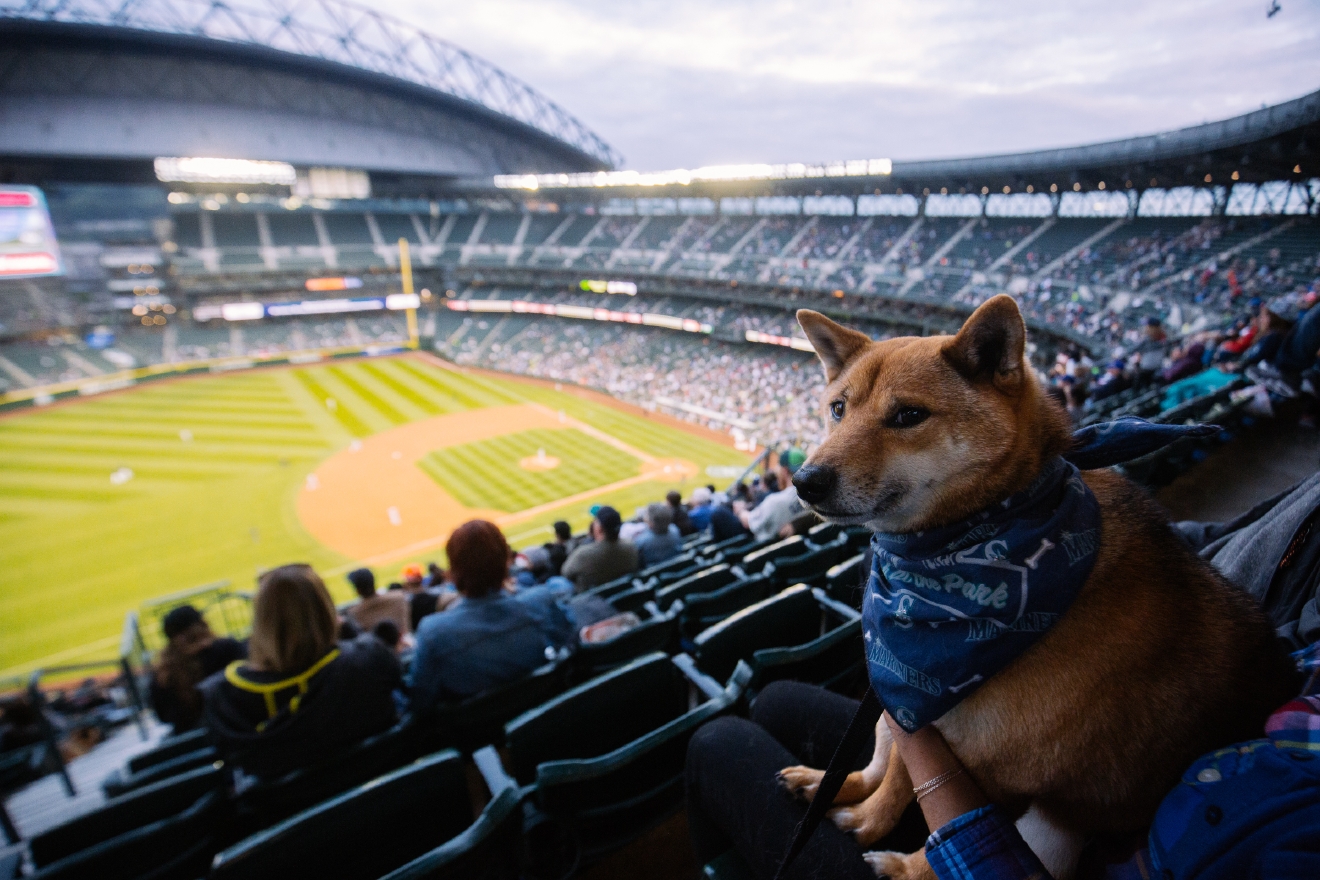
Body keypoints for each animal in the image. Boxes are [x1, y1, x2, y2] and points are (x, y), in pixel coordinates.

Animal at [776, 298, 1293, 880]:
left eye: (908, 415)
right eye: (839, 409)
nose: (805, 481)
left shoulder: (979, 755)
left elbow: (909, 792)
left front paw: (869, 827)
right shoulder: (906, 706)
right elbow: (887, 767)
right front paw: (849, 798)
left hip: (1053, 821)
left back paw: (898, 862)